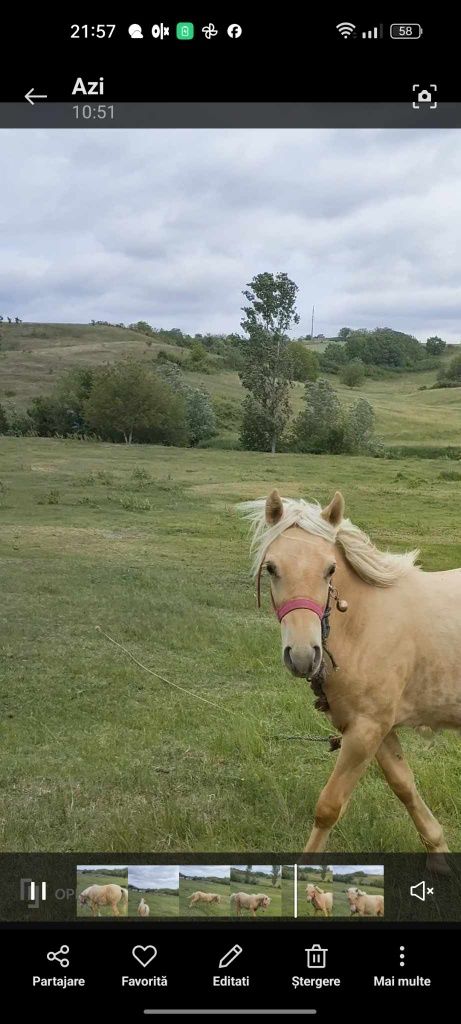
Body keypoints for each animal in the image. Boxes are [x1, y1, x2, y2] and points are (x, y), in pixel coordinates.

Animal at [239, 491, 458, 851]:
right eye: (271, 568)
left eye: (330, 569)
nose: (303, 655)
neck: (365, 622)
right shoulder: (377, 730)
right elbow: (405, 788)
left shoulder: (365, 731)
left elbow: (328, 807)